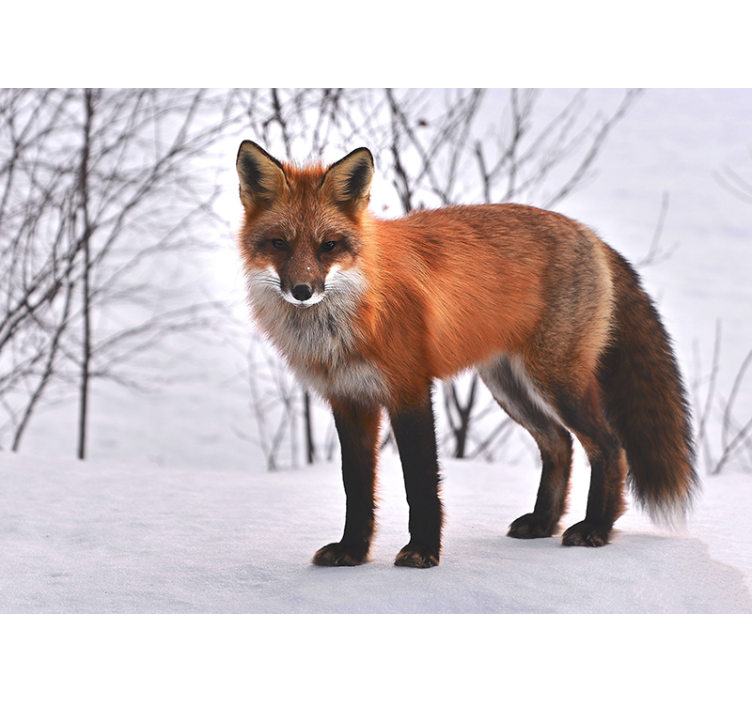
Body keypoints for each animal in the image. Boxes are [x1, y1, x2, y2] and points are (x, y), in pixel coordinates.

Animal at [235, 140, 698, 568]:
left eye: (328, 246)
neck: (350, 317)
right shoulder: (349, 400)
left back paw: (596, 528)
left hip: (556, 381)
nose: (302, 291)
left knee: (609, 446)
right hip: (509, 386)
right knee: (559, 443)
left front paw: (422, 551)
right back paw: (544, 522)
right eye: (279, 244)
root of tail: (590, 234)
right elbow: (357, 487)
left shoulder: (410, 390)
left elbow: (420, 483)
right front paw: (352, 552)